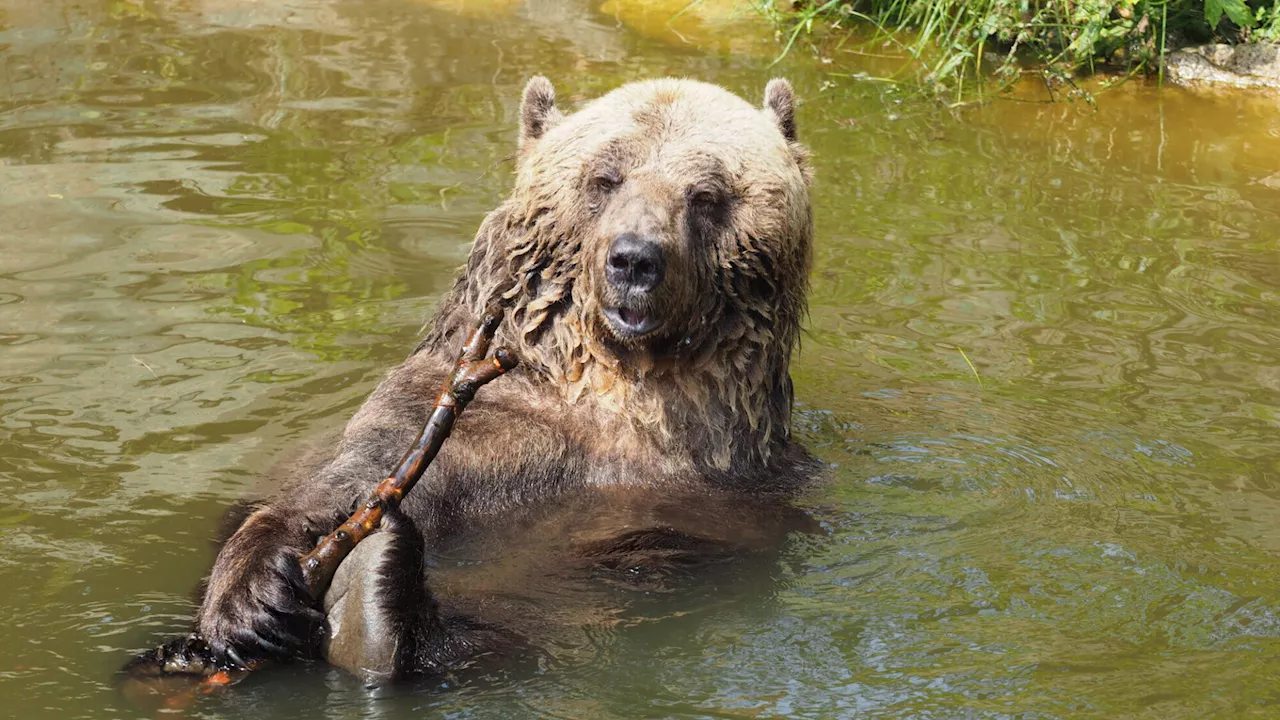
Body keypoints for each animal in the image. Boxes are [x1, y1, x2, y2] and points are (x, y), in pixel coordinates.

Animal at [129, 74, 819, 681]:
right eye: (604, 178)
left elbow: (662, 546)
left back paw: (379, 604)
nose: (635, 259)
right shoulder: (479, 413)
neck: (618, 383)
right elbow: (357, 472)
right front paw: (256, 590)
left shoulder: (726, 481)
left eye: (706, 195)